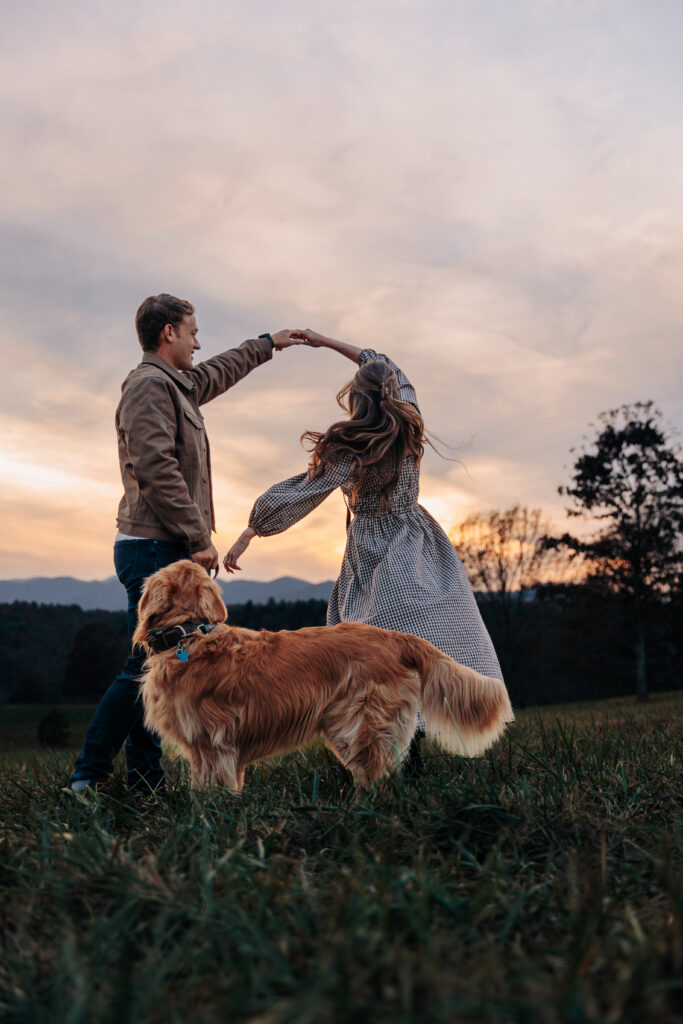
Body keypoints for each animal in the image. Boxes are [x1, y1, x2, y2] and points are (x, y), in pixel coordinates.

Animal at [133, 561, 511, 790]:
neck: (187, 634)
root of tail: (395, 636)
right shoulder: (216, 749)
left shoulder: (212, 743)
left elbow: (211, 792)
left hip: (360, 724)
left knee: (378, 776)